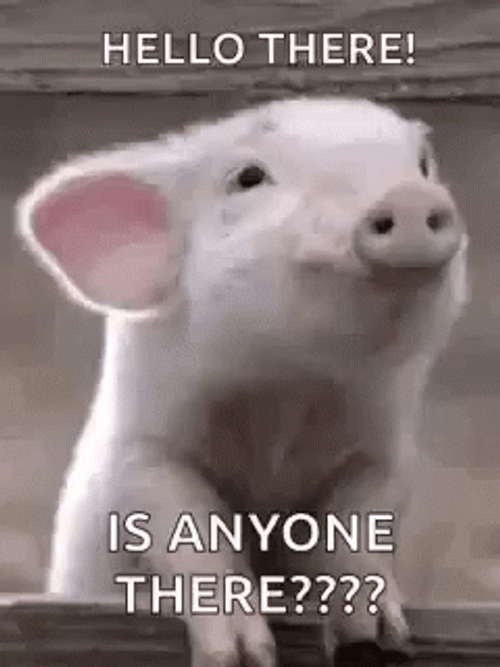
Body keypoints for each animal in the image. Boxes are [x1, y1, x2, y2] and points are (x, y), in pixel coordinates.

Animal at [17, 97, 468, 666]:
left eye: (423, 164)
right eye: (248, 178)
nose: (409, 196)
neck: (287, 394)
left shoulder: (384, 454)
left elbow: (359, 526)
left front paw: (381, 638)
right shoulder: (139, 453)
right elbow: (189, 529)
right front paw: (242, 655)